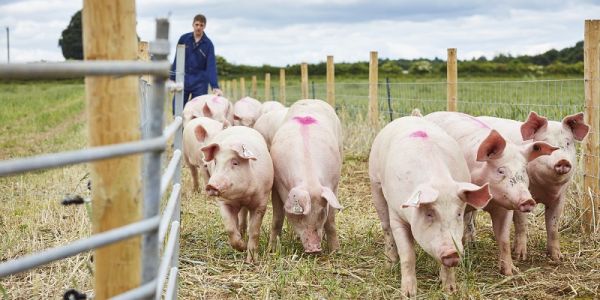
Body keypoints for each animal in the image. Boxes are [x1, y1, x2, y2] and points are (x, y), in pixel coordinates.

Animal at [203, 125, 276, 262]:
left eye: (235, 162)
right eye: (215, 162)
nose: (211, 185)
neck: (243, 195)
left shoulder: (261, 202)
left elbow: (254, 231)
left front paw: (251, 261)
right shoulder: (224, 202)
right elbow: (230, 228)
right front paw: (242, 246)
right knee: (239, 218)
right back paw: (241, 234)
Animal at [270, 99, 344, 254]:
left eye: (322, 212)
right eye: (300, 215)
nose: (314, 248)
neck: (309, 179)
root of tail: (311, 100)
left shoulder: (333, 185)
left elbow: (331, 221)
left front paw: (336, 251)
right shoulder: (276, 184)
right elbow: (277, 219)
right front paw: (271, 251)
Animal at [368, 115, 490, 296]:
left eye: (458, 214)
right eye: (429, 214)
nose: (452, 252)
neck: (438, 181)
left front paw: (450, 290)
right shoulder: (397, 215)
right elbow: (408, 255)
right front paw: (408, 294)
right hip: (375, 183)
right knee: (386, 228)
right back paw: (389, 265)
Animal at [422, 111, 556, 276]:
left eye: (524, 170)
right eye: (501, 170)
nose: (528, 201)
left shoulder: (504, 208)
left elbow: (503, 238)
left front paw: (511, 272)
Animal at [478, 111, 592, 262]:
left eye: (567, 143)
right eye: (546, 143)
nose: (562, 160)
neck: (545, 188)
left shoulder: (560, 198)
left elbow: (553, 226)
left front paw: (557, 258)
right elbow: (521, 224)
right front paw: (520, 256)